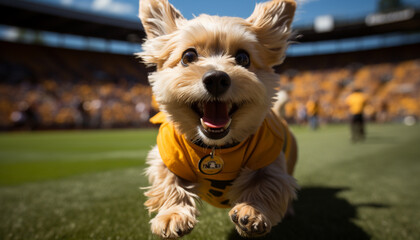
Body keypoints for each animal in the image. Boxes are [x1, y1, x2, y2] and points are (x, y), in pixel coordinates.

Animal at [138, 0, 298, 237]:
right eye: (188, 56)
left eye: (243, 58)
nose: (216, 78)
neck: (216, 147)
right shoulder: (167, 155)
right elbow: (168, 183)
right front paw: (173, 215)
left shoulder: (269, 158)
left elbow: (267, 184)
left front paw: (253, 211)